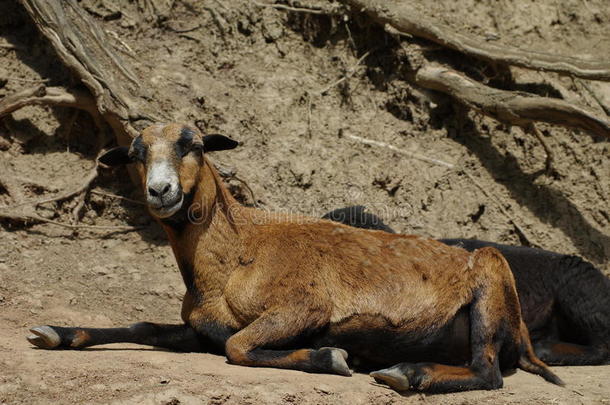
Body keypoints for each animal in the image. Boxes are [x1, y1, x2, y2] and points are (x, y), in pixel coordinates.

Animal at [27, 123, 560, 392]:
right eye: (137, 154)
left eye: (193, 144)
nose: (162, 191)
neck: (234, 256)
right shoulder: (199, 329)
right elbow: (143, 327)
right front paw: (53, 332)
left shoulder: (302, 308)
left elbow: (238, 347)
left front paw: (332, 356)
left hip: (491, 279)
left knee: (489, 373)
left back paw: (407, 373)